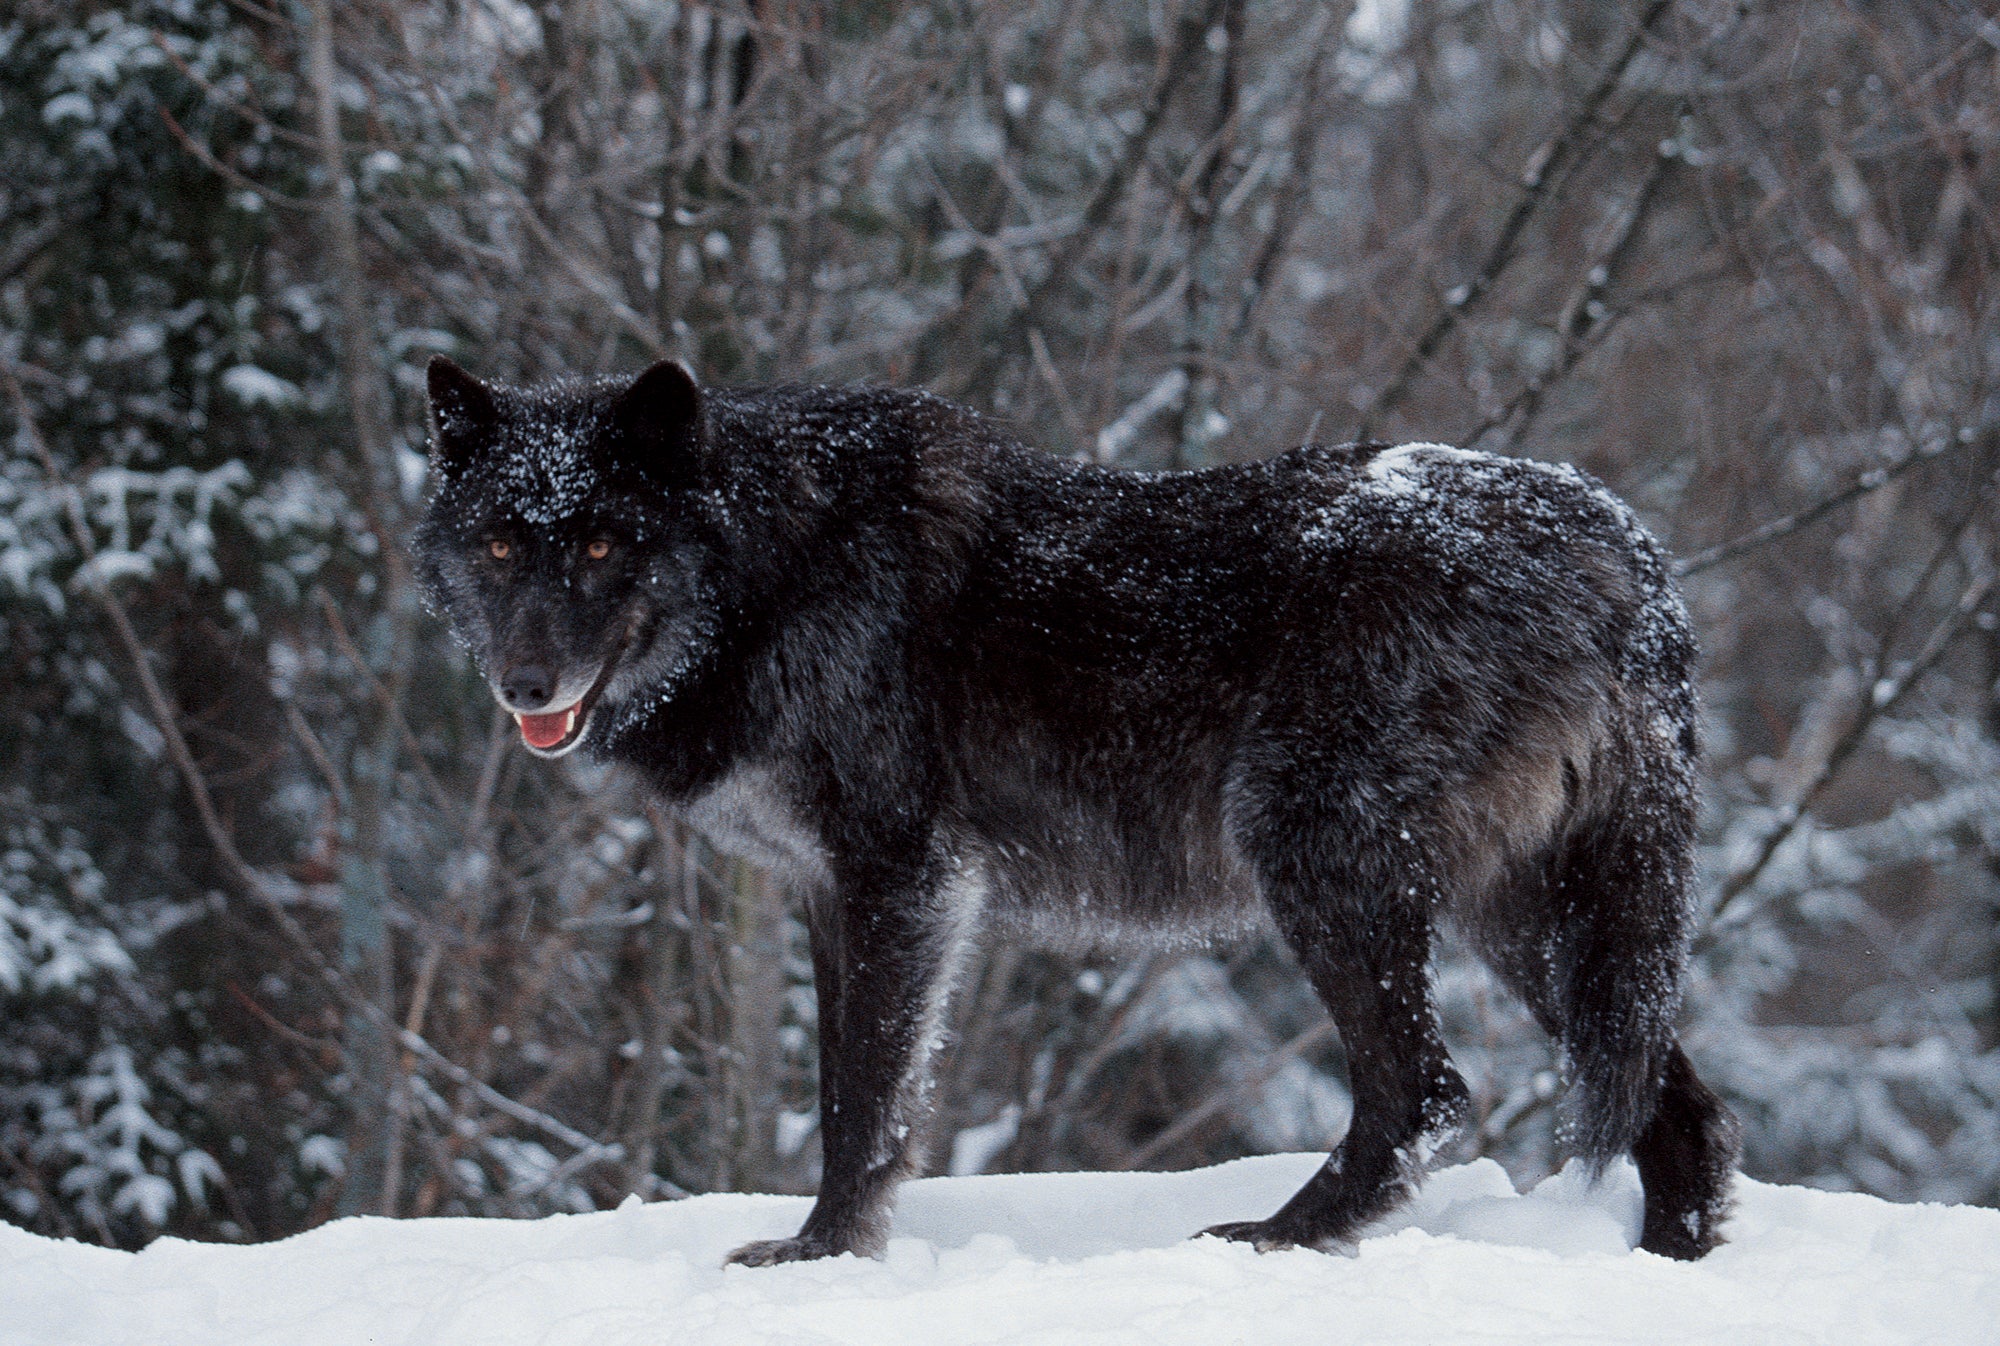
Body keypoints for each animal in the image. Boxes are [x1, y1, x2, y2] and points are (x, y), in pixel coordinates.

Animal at [412, 354, 1740, 1265]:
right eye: (501, 546)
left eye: (598, 545)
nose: (523, 684)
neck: (774, 569)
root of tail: (1616, 539)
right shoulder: (828, 891)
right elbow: (856, 1086)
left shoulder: (901, 877)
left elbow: (862, 1099)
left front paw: (822, 1256)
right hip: (1521, 916)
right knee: (1679, 1109)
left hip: (1320, 862)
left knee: (1426, 1091)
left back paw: (1271, 1240)